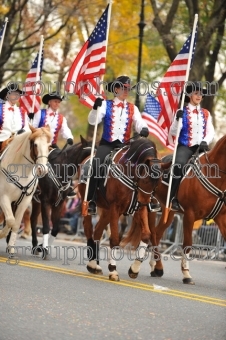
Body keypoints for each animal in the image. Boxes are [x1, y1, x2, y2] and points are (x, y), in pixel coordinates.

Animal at [0, 126, 51, 254]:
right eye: (35, 144)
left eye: (49, 146)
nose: (42, 169)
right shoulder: (3, 197)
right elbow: (10, 220)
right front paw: (1, 234)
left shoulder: (24, 201)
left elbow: (16, 223)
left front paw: (11, 247)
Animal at [77, 138, 161, 282]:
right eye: (145, 180)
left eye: (157, 183)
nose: (146, 202)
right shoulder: (115, 208)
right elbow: (115, 239)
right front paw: (113, 270)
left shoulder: (138, 208)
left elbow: (146, 235)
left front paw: (134, 268)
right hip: (88, 203)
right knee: (88, 229)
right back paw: (92, 263)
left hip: (106, 211)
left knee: (97, 231)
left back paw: (96, 266)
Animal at [122, 135, 226, 284]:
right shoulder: (189, 215)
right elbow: (187, 244)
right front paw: (186, 274)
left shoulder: (221, 217)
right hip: (149, 207)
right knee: (150, 233)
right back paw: (141, 266)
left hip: (168, 213)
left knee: (157, 234)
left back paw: (155, 267)